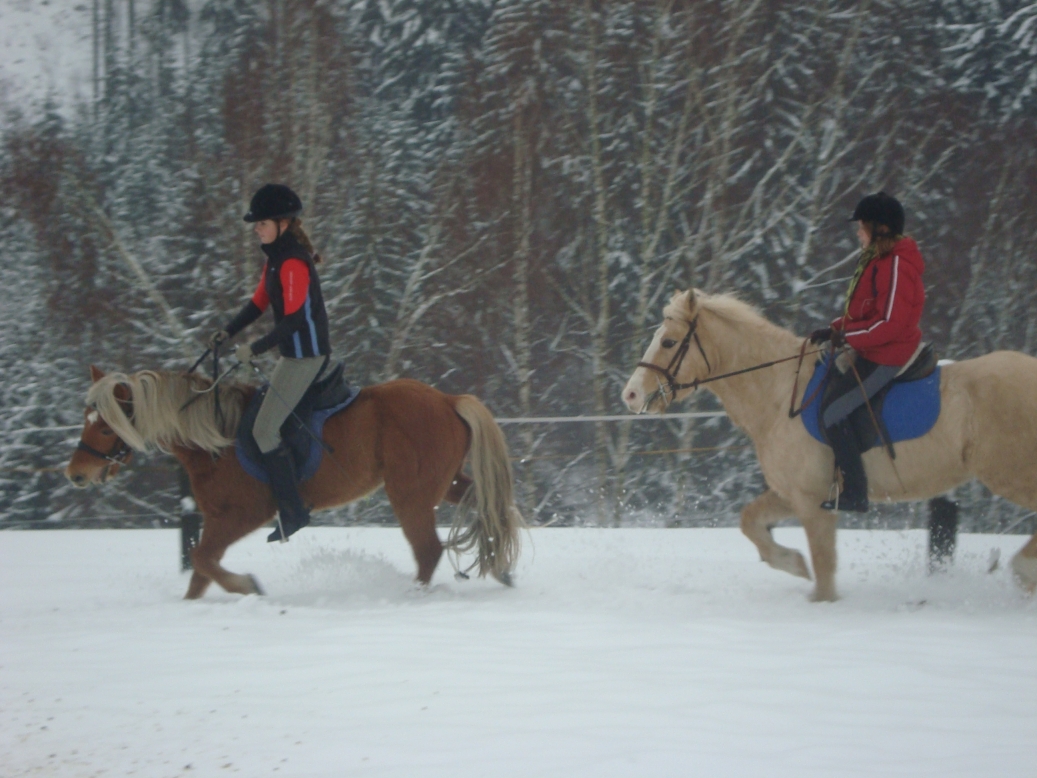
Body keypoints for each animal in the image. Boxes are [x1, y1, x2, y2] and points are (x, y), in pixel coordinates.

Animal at [64, 369, 522, 601]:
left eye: (104, 427)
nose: (76, 474)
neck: (216, 440)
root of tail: (447, 400)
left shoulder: (241, 515)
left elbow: (202, 559)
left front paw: (247, 586)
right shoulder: (217, 519)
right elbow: (199, 572)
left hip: (410, 495)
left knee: (428, 550)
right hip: (442, 485)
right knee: (486, 508)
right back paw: (501, 567)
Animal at [622, 290, 1037, 601]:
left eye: (669, 341)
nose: (630, 395)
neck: (779, 397)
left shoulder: (812, 501)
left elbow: (824, 570)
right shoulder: (794, 493)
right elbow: (751, 522)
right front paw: (791, 562)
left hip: (1012, 475)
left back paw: (1022, 571)